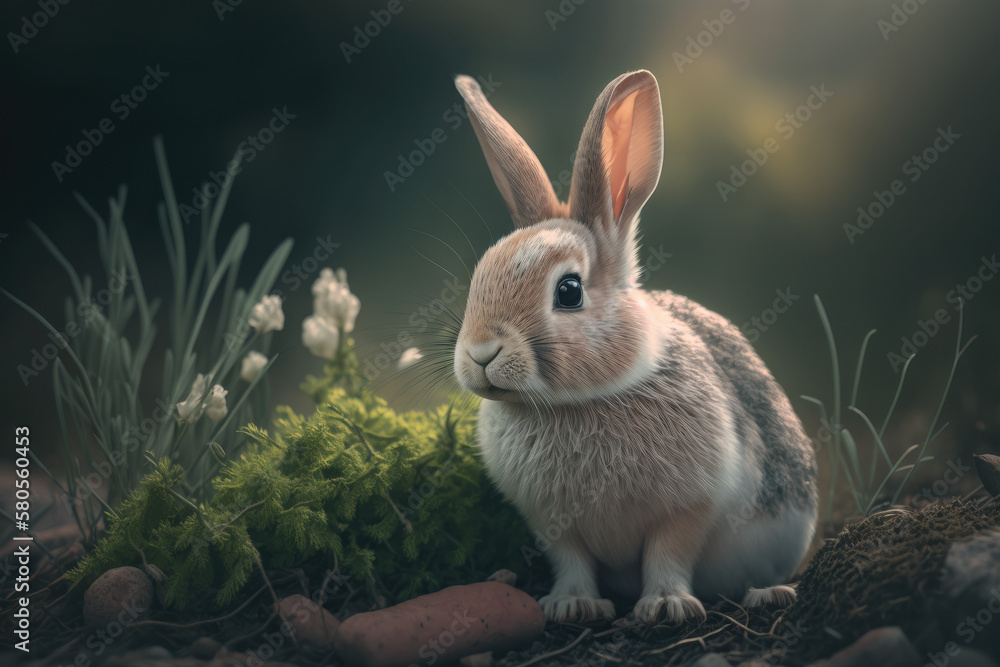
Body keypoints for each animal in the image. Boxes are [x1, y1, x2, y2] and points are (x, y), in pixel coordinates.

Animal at [451, 70, 818, 625]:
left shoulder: (687, 508)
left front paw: (666, 606)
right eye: (479, 277)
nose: (480, 354)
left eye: (569, 291)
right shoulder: (553, 524)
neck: (579, 402)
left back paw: (767, 594)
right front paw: (571, 605)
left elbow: (668, 553)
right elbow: (572, 561)